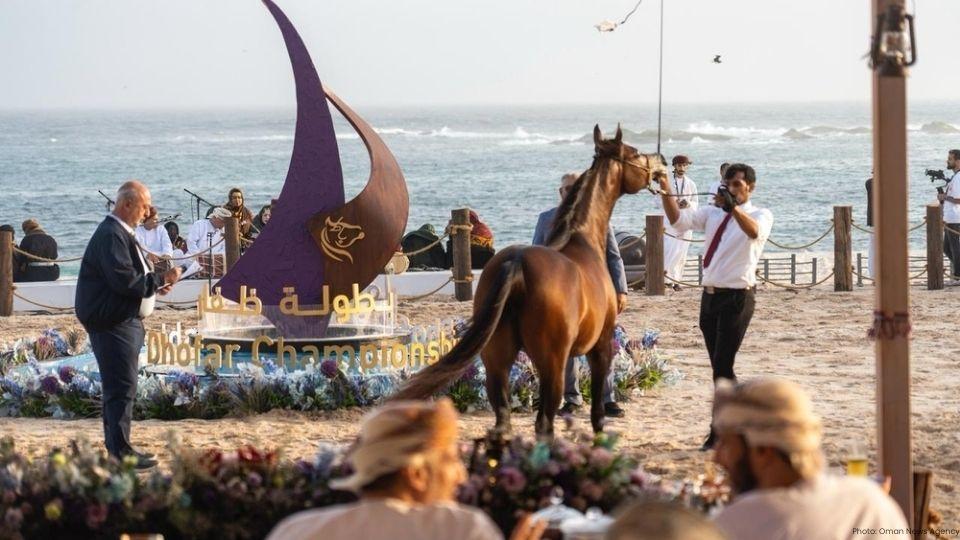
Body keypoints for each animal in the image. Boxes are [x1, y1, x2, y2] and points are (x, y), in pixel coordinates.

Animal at [393, 125, 667, 437]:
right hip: (550, 363)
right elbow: (597, 405)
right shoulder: (601, 345)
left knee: (503, 420)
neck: (583, 240)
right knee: (544, 423)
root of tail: (517, 263)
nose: (661, 162)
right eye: (635, 153)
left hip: (497, 362)